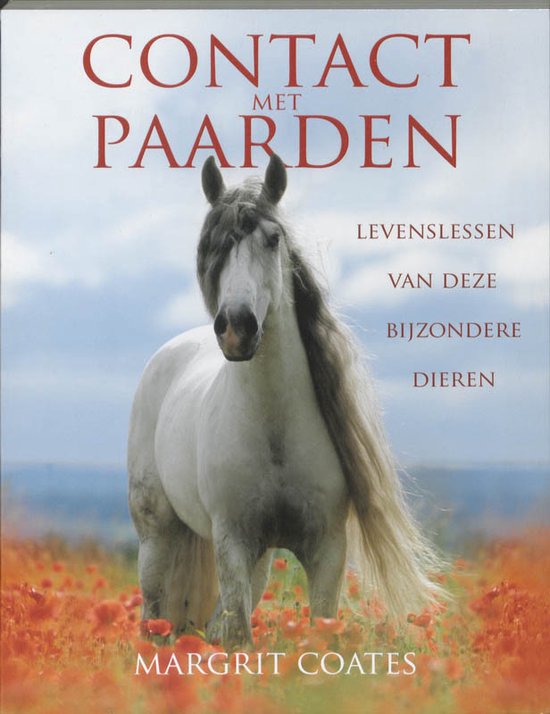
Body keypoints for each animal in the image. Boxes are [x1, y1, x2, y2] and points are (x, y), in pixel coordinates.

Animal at [128, 154, 440, 648]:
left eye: (273, 239)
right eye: (212, 245)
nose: (236, 328)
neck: (274, 430)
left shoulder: (327, 549)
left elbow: (319, 628)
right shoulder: (232, 542)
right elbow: (240, 638)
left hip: (255, 559)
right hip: (157, 534)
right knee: (155, 615)